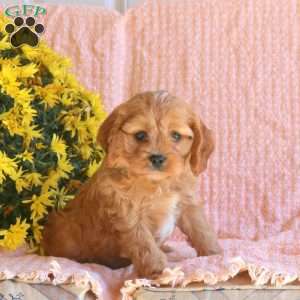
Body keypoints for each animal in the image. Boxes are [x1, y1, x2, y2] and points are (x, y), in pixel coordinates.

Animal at [41, 91, 220, 276]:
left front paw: (214, 253)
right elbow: (143, 241)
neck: (157, 182)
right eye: (140, 135)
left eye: (176, 136)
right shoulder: (127, 211)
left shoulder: (187, 201)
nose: (157, 158)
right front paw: (156, 268)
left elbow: (200, 228)